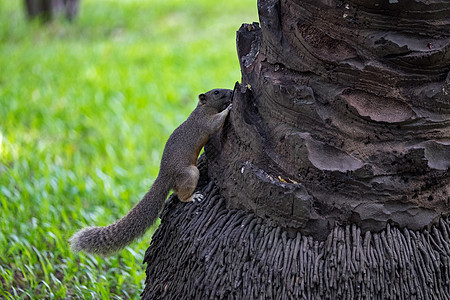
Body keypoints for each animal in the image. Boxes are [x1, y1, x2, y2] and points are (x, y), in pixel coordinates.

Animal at [70, 89, 234, 255]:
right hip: (190, 172)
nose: (231, 92)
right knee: (181, 195)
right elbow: (216, 123)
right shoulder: (204, 122)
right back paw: (192, 197)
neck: (203, 108)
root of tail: (164, 176)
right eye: (216, 92)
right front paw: (229, 108)